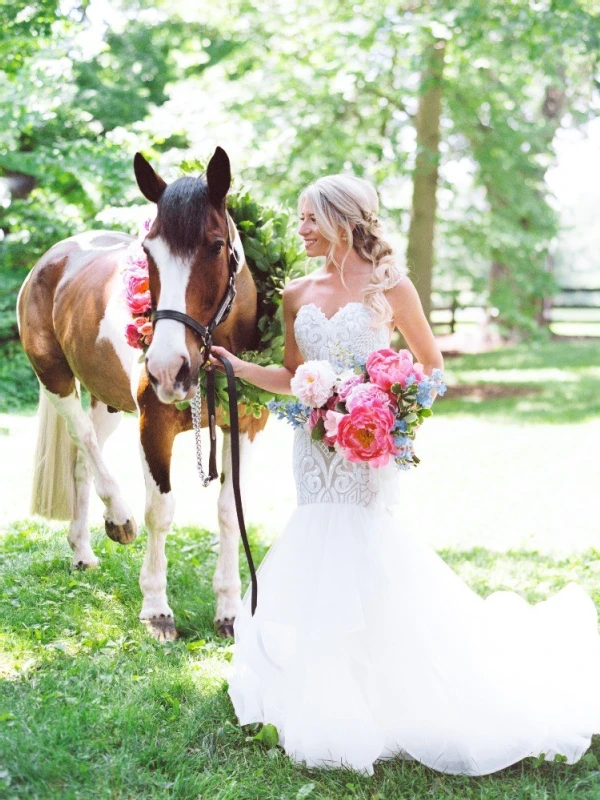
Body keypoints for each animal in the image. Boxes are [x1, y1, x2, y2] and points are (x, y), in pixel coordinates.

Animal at [17, 147, 268, 640]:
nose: (167, 368)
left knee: (82, 462)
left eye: (215, 246)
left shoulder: (245, 427)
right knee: (85, 441)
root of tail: (53, 257)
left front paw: (229, 611)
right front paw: (156, 609)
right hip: (55, 378)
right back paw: (118, 518)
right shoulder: (154, 427)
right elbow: (160, 512)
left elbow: (230, 512)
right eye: (148, 250)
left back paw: (82, 550)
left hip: (109, 401)